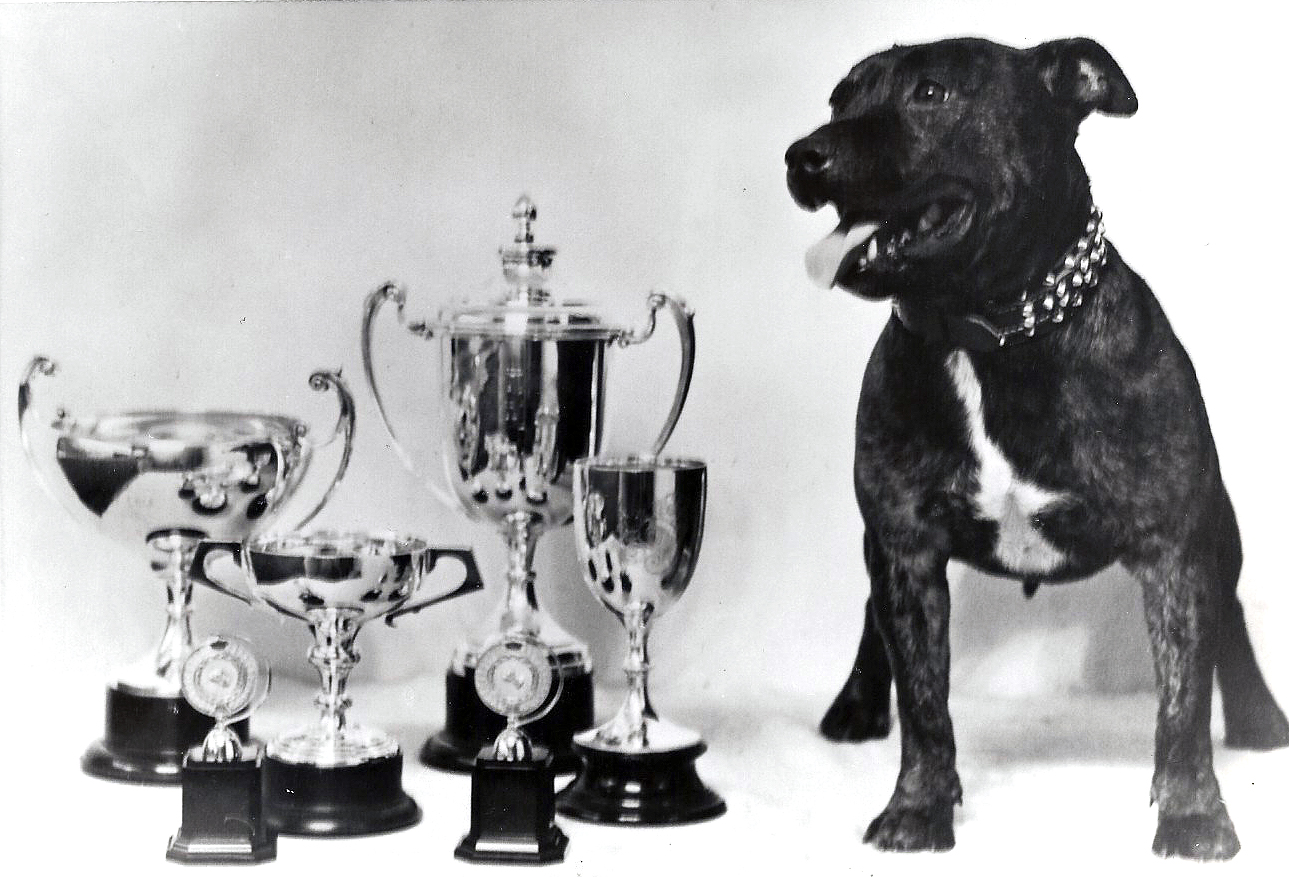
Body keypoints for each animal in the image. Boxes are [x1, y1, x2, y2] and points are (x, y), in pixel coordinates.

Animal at [783, 37, 1289, 861]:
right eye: (838, 98)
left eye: (932, 92)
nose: (804, 155)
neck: (984, 334)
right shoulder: (903, 548)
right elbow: (924, 702)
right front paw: (917, 807)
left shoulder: (1175, 550)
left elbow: (1181, 705)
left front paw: (1193, 816)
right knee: (871, 616)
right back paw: (858, 702)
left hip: (1221, 527)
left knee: (1231, 616)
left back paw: (1255, 716)